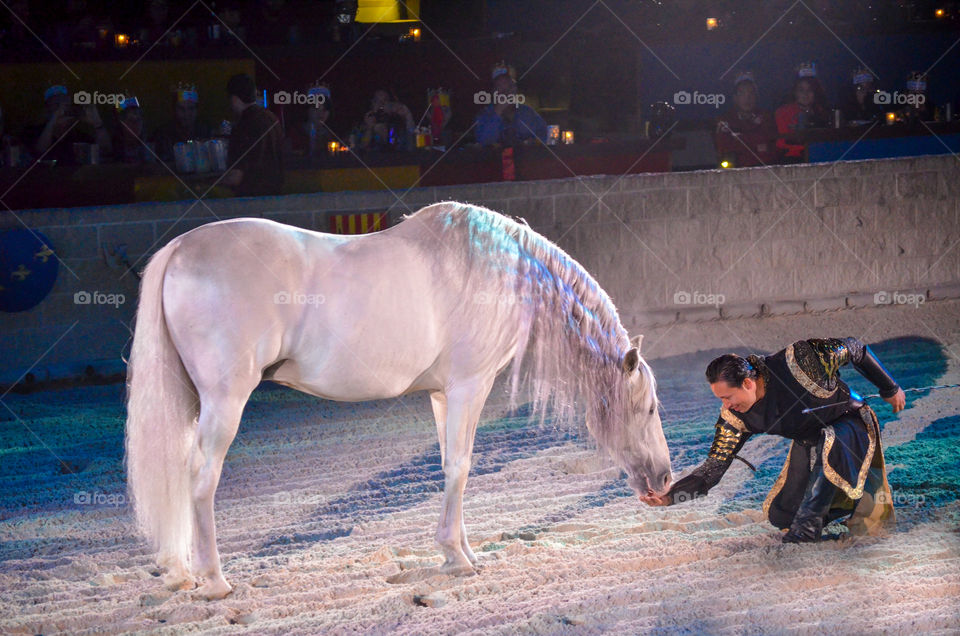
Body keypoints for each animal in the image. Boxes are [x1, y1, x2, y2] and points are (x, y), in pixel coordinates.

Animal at [124, 201, 672, 600]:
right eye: (648, 409)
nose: (665, 479)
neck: (498, 270)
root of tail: (181, 247)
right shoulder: (469, 387)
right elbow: (462, 466)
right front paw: (456, 556)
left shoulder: (443, 395)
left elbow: (451, 465)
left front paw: (462, 551)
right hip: (225, 401)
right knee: (202, 478)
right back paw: (214, 580)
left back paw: (181, 571)